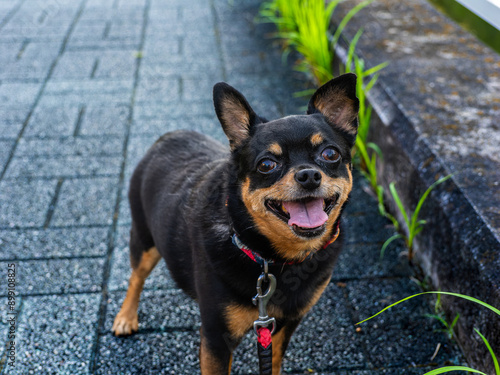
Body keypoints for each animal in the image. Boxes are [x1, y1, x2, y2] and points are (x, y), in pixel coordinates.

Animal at [112, 72, 360, 374]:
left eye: (330, 154)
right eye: (266, 164)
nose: (309, 175)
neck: (274, 259)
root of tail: (168, 135)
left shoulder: (284, 326)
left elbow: (274, 363)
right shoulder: (216, 337)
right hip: (144, 238)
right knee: (136, 276)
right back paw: (126, 317)